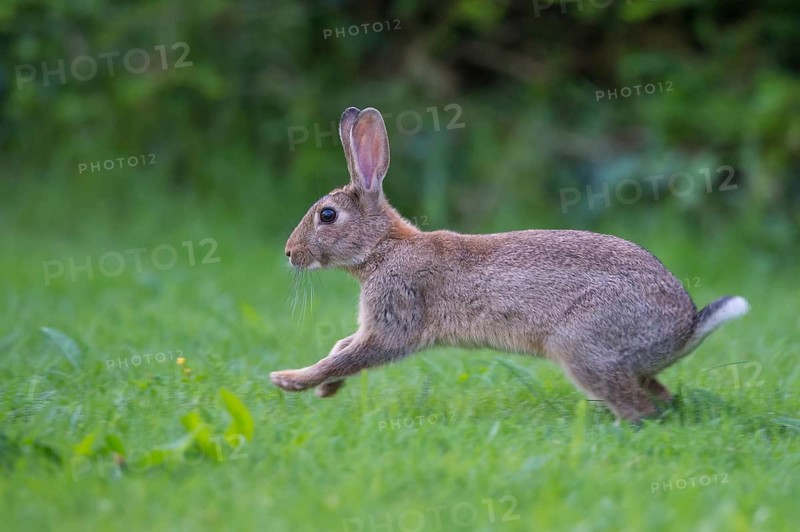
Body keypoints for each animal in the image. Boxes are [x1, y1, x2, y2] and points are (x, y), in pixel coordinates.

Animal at [271, 106, 750, 422]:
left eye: (327, 215)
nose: (289, 252)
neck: (383, 248)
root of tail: (683, 330)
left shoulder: (396, 318)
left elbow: (353, 355)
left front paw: (290, 380)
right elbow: (343, 349)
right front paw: (326, 389)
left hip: (584, 346)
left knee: (638, 409)